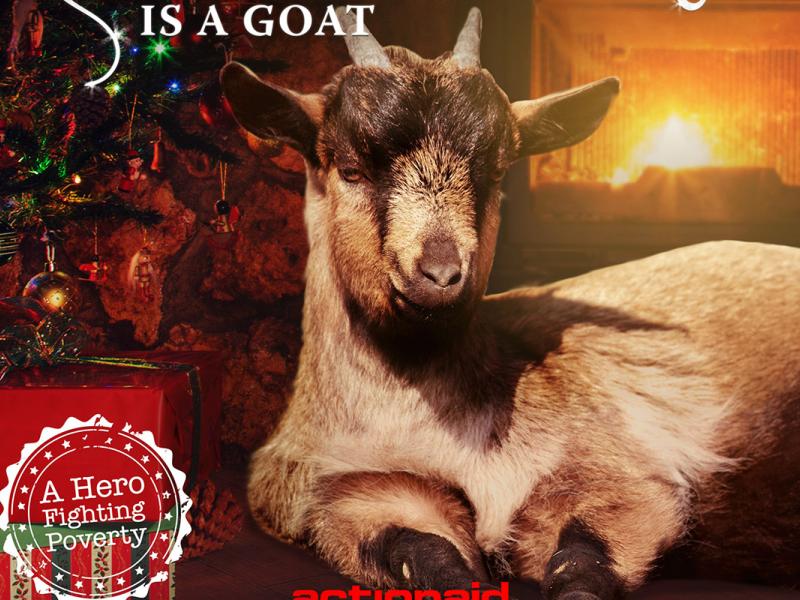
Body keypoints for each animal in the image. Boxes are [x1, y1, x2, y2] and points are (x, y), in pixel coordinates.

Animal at [221, 7, 800, 599]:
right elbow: (425, 555)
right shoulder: (342, 495)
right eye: (351, 169)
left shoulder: (620, 474)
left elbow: (585, 562)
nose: (440, 273)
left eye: (495, 171)